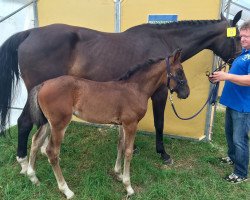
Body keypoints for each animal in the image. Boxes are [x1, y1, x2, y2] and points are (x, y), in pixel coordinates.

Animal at [26, 48, 188, 198]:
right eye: (179, 72)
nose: (186, 93)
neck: (135, 89)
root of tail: (43, 84)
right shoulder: (131, 124)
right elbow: (128, 151)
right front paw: (128, 186)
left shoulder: (123, 124)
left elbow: (120, 146)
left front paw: (118, 174)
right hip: (59, 124)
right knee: (51, 152)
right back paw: (66, 190)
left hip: (48, 123)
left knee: (36, 140)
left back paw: (33, 177)